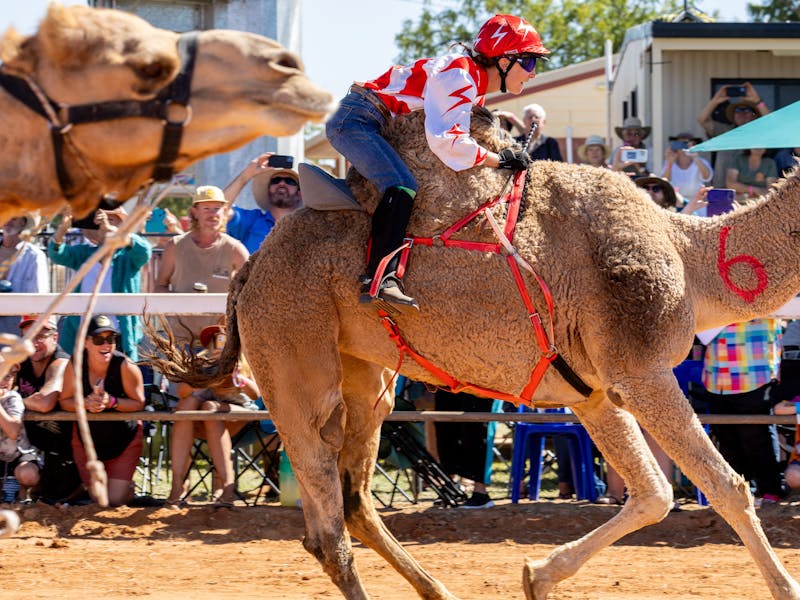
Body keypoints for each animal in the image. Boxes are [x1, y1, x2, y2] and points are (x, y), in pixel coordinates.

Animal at [155, 105, 800, 599]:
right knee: (326, 526)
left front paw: (536, 575)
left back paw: (438, 590)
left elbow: (655, 493)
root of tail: (251, 268)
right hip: (292, 361)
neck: (693, 257)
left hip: (367, 378)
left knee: (355, 499)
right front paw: (785, 587)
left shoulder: (595, 390)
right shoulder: (640, 370)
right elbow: (726, 487)